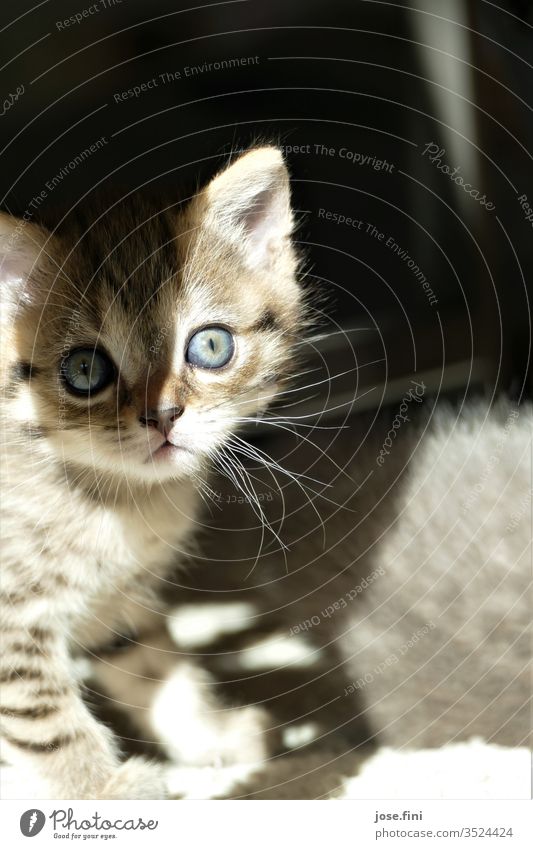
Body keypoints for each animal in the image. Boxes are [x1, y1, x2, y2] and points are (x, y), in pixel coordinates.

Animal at [0, 142, 304, 800]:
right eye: (84, 370)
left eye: (210, 346)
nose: (162, 415)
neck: (117, 501)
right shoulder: (10, 620)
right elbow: (45, 718)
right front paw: (98, 790)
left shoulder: (119, 600)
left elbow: (158, 669)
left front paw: (211, 735)